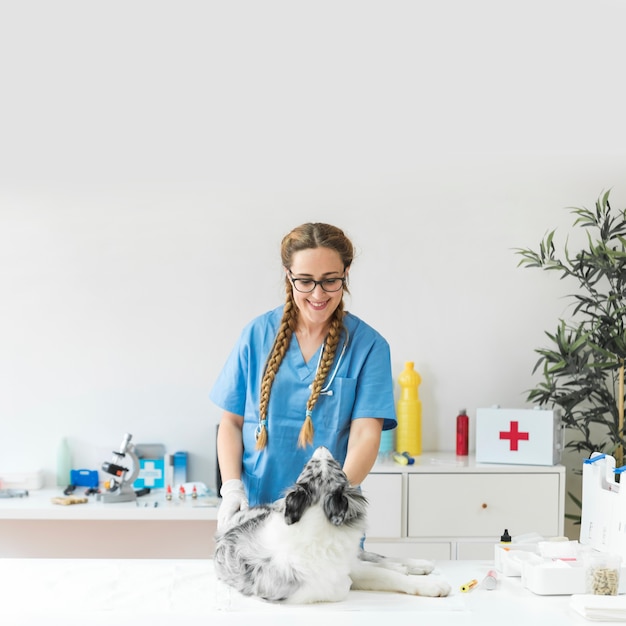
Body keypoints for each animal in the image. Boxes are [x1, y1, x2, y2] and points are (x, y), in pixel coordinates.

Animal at [213, 446, 448, 604]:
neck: (317, 521)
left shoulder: (348, 569)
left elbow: (390, 576)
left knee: (377, 558)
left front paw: (434, 586)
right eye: (309, 466)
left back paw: (419, 564)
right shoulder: (336, 582)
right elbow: (381, 576)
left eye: (332, 465)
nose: (321, 446)